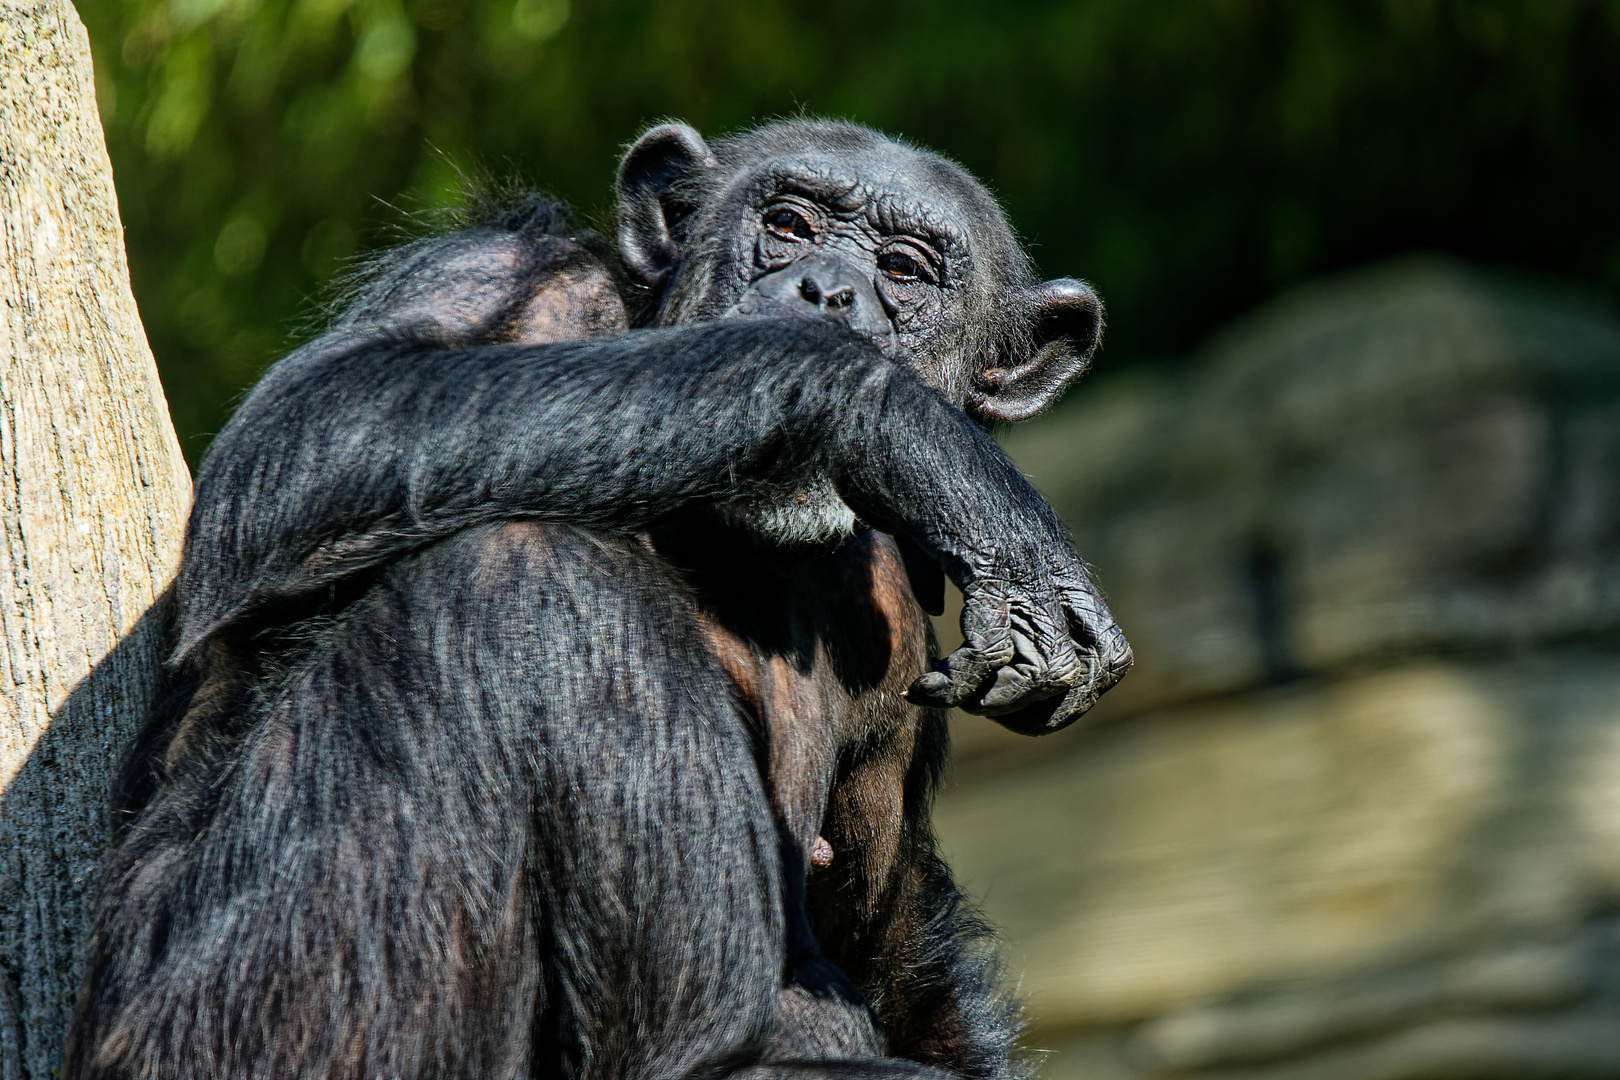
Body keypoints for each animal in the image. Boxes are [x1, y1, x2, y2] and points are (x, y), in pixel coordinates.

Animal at [59, 120, 1127, 1080]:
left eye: (905, 271)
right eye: (787, 223)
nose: (828, 291)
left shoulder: (898, 634)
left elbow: (890, 939)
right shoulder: (499, 276)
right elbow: (311, 430)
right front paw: (915, 441)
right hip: (241, 1020)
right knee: (525, 572)